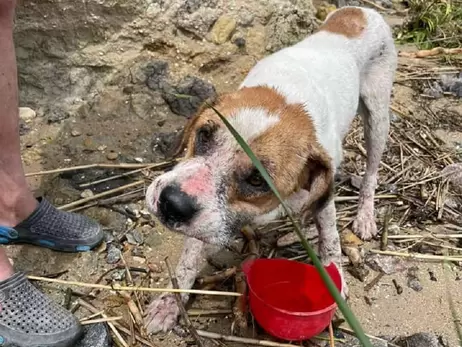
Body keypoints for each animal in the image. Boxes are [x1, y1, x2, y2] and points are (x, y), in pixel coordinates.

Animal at [144, 6, 398, 334]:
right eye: (204, 134)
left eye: (257, 179)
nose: (171, 203)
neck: (286, 101)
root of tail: (360, 11)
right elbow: (188, 259)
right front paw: (169, 303)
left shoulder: (324, 195)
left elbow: (330, 239)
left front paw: (334, 281)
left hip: (378, 120)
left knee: (371, 175)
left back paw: (365, 215)